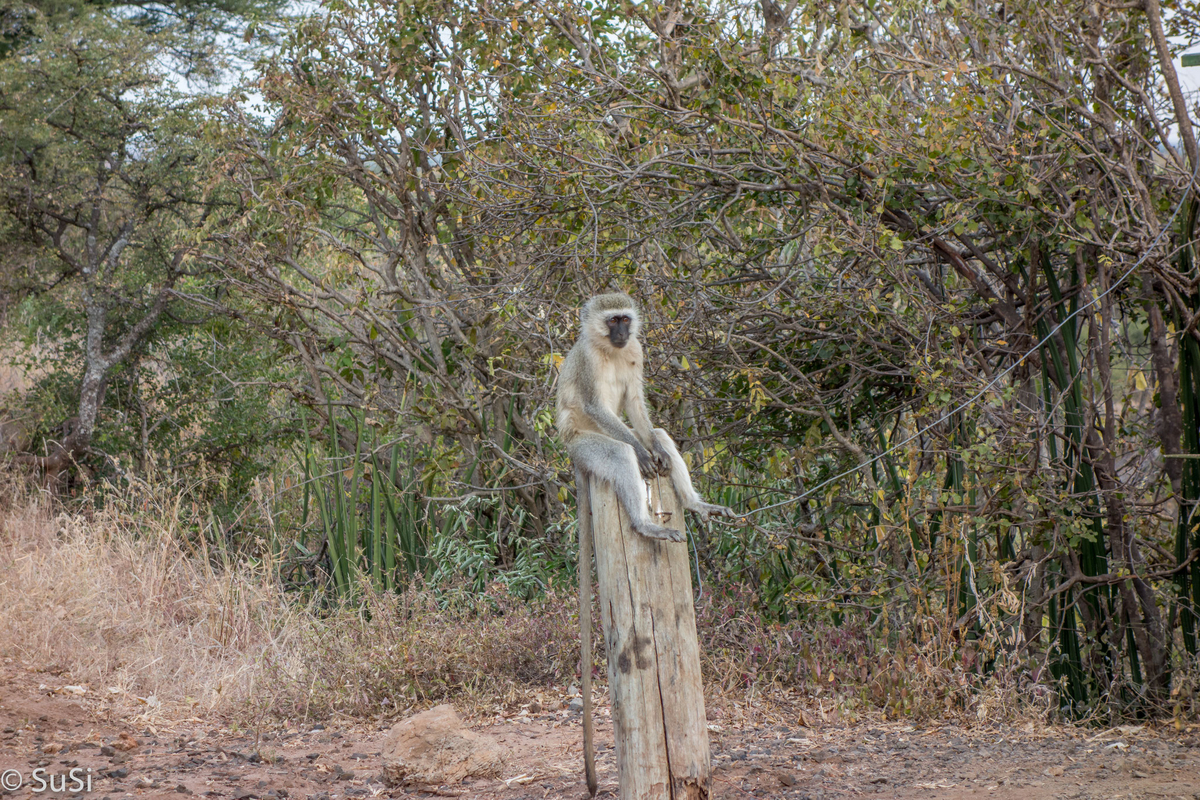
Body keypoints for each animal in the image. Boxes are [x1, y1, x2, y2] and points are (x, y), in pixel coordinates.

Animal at [556, 292, 734, 796]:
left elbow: (637, 406)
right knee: (615, 450)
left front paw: (653, 453)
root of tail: (571, 453)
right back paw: (643, 520)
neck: (610, 350)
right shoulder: (588, 366)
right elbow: (600, 407)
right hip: (587, 448)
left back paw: (694, 503)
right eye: (611, 321)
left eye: (625, 320)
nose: (621, 333)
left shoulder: (636, 355)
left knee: (659, 433)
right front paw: (638, 453)